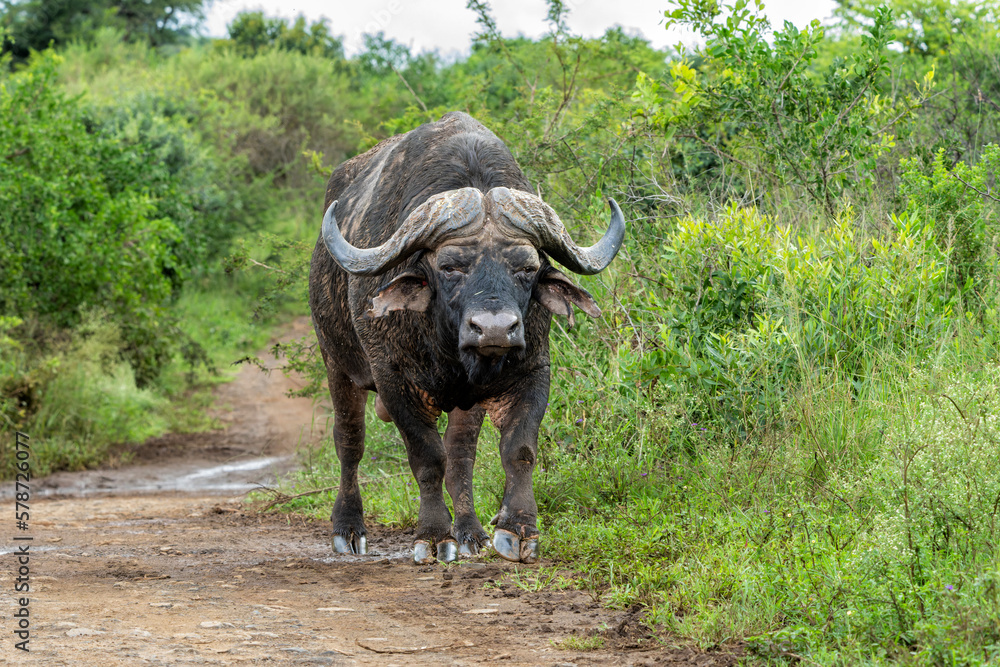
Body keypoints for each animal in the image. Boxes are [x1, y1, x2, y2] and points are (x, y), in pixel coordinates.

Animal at [309, 111, 624, 564]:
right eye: (450, 267)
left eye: (527, 268)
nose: (494, 328)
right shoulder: (393, 380)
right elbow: (426, 458)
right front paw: (433, 536)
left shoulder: (533, 371)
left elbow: (518, 450)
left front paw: (517, 530)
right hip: (336, 362)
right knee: (350, 441)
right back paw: (348, 529)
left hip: (466, 402)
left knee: (461, 454)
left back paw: (471, 532)